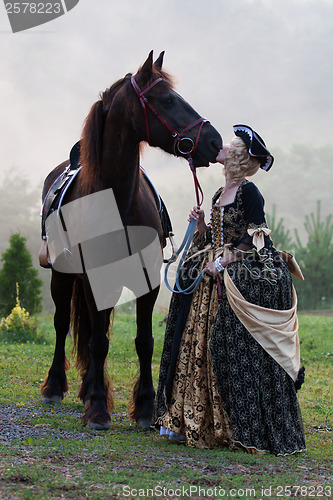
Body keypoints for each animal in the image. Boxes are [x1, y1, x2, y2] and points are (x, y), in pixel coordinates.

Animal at [40, 52, 222, 432]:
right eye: (167, 100)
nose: (214, 141)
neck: (118, 201)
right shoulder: (93, 279)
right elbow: (97, 342)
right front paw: (98, 408)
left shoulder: (147, 280)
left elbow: (143, 341)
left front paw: (146, 407)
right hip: (62, 277)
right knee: (64, 324)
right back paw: (56, 386)